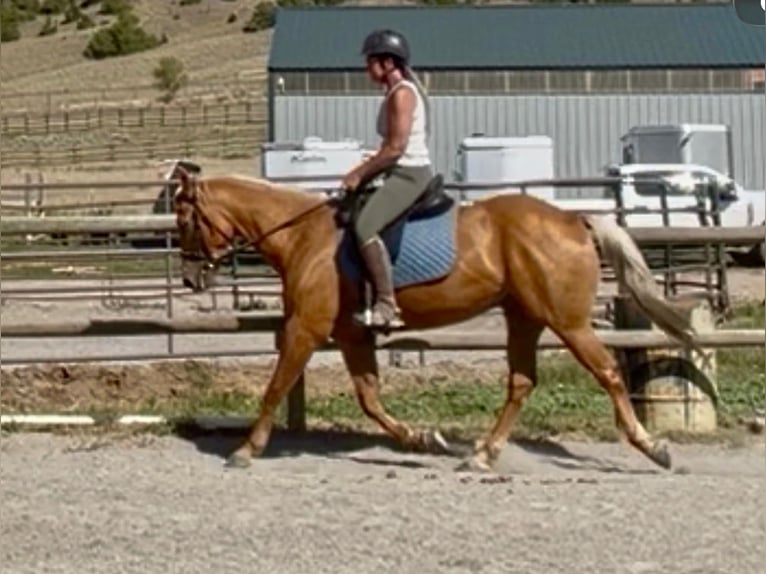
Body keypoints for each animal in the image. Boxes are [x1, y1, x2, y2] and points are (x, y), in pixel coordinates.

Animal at [171, 162, 701, 472]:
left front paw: (246, 450)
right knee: (522, 382)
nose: (190, 279)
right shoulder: (351, 334)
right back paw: (482, 455)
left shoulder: (308, 327)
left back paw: (654, 447)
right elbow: (369, 398)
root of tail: (573, 218)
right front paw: (425, 439)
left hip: (566, 321)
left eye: (184, 219)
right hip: (524, 316)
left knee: (607, 372)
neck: (304, 235)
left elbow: (277, 385)